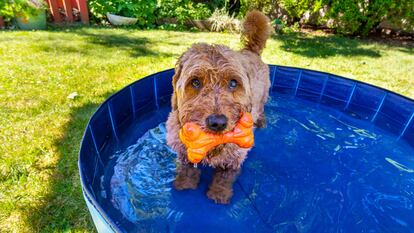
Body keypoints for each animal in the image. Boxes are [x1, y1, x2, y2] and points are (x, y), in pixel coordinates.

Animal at [167, 10, 274, 204]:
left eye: (233, 83)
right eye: (195, 82)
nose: (217, 123)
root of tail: (250, 50)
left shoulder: (234, 157)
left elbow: (224, 177)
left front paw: (219, 194)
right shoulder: (183, 151)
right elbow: (187, 169)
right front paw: (185, 184)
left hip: (263, 98)